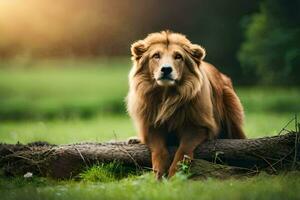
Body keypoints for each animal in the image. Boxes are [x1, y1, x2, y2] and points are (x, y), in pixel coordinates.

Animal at [126, 30, 246, 179]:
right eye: (156, 56)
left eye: (178, 56)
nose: (166, 69)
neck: (167, 95)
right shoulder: (151, 125)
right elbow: (159, 150)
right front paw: (159, 175)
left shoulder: (197, 125)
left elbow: (182, 151)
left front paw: (174, 176)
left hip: (230, 100)